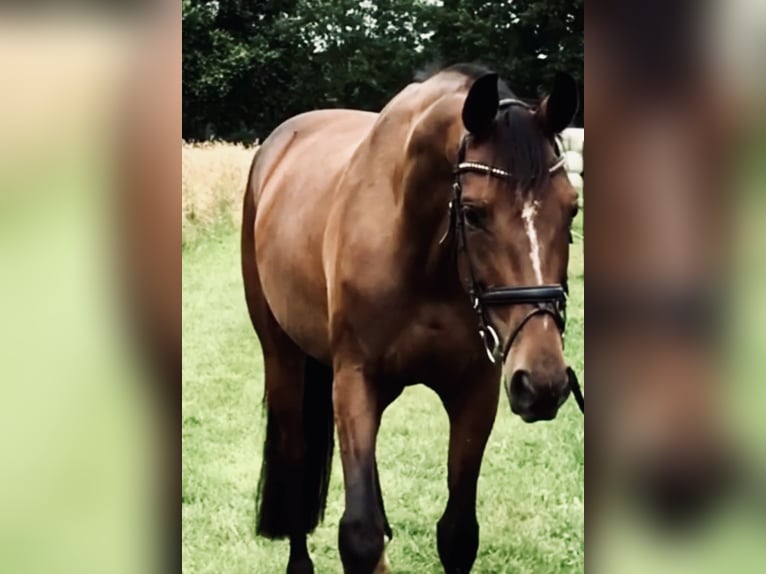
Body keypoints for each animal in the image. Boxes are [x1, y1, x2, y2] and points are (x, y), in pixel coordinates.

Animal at [240, 65, 584, 572]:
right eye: (472, 213)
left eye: (571, 208)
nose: (542, 382)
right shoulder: (355, 380)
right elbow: (359, 535)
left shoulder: (475, 391)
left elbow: (458, 534)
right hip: (283, 357)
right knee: (296, 455)